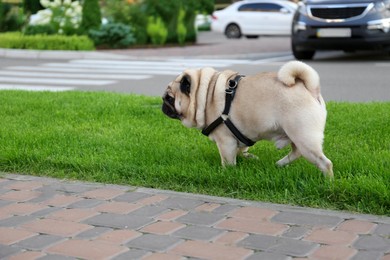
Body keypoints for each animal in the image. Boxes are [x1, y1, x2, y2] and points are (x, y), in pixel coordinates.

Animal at [161, 61, 332, 178]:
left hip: (303, 136)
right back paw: (280, 164)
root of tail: (310, 88)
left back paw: (327, 182)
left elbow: (228, 159)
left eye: (169, 98)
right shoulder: (238, 137)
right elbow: (241, 149)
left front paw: (227, 172)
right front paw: (249, 157)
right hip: (296, 136)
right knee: (297, 152)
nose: (162, 104)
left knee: (323, 162)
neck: (206, 94)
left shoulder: (225, 140)